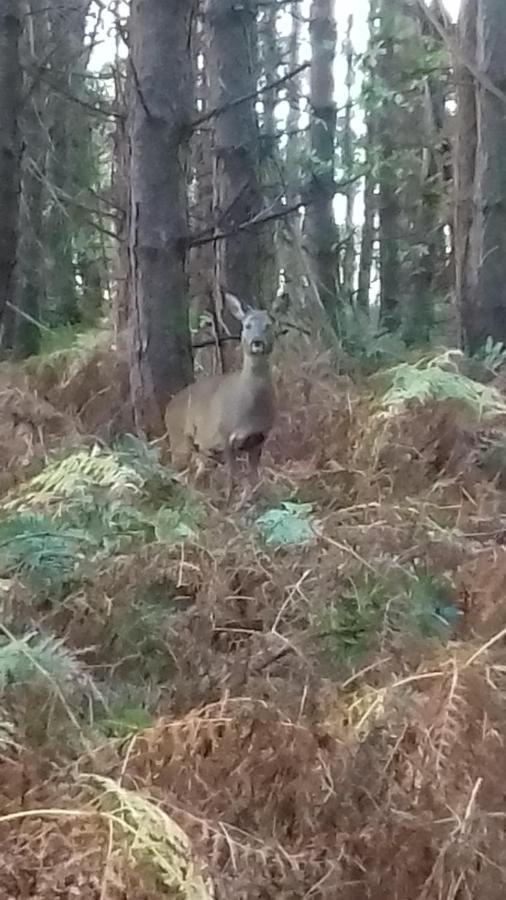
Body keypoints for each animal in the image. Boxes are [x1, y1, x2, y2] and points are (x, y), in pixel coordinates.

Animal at [164, 292, 276, 500]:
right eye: (247, 325)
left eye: (268, 325)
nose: (257, 342)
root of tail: (168, 406)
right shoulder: (225, 434)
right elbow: (233, 476)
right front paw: (231, 499)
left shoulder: (259, 438)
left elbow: (253, 478)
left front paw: (253, 500)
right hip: (179, 438)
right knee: (175, 470)